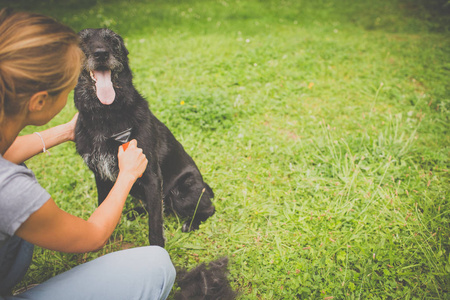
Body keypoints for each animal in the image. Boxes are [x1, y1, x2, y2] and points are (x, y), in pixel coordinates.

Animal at [73, 28, 214, 248]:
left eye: (113, 41)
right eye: (84, 41)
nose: (101, 53)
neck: (105, 116)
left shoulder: (152, 177)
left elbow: (155, 225)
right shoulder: (100, 175)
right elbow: (103, 206)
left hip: (182, 193)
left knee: (208, 209)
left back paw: (191, 223)